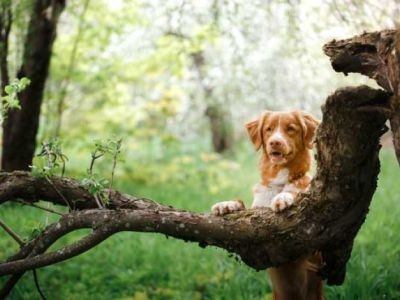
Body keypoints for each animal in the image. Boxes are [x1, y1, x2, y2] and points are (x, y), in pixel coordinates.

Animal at [211, 110, 324, 300]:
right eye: (268, 129)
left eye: (290, 129)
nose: (275, 142)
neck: (279, 180)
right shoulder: (254, 213)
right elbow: (241, 203)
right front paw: (226, 205)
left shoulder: (308, 247)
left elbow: (295, 193)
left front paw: (283, 197)